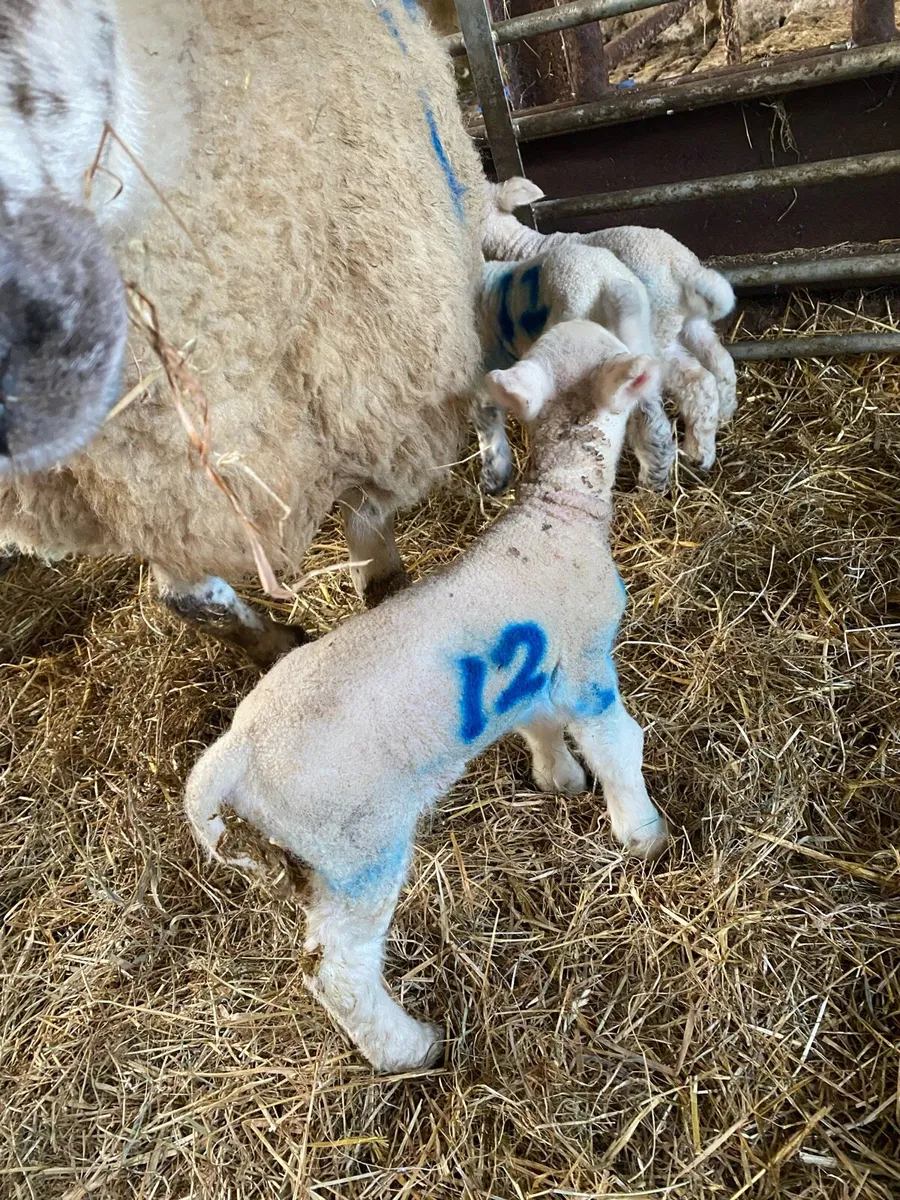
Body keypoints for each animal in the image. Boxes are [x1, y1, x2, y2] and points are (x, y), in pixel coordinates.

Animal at [184, 318, 670, 1073]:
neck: (556, 514)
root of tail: (234, 751)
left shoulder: (533, 674)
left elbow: (538, 727)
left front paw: (559, 780)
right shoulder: (587, 662)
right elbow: (620, 746)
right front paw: (642, 833)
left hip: (314, 855)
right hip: (357, 852)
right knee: (338, 969)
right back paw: (408, 1048)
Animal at [479, 176, 738, 484]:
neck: (524, 247)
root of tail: (686, 271)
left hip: (657, 332)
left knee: (692, 381)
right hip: (691, 323)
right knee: (719, 365)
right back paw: (714, 431)